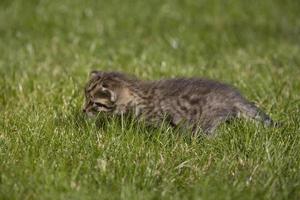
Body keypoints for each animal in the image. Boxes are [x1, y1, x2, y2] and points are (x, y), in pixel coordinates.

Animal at [82, 71, 274, 135]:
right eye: (85, 97)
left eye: (94, 103)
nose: (83, 110)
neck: (138, 95)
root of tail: (233, 95)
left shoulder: (158, 120)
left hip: (207, 119)